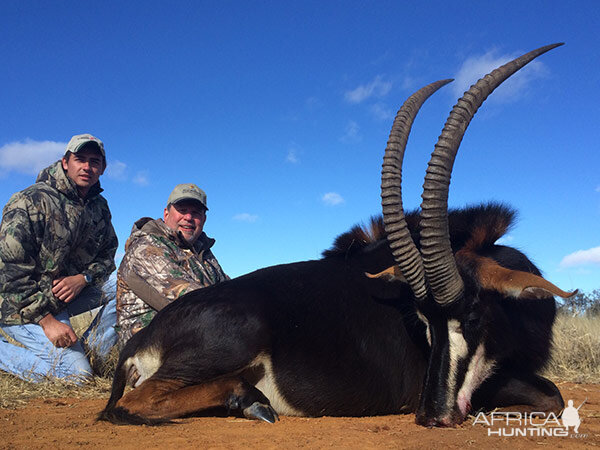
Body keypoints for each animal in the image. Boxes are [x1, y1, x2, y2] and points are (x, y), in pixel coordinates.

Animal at [101, 43, 576, 428]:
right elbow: (551, 394)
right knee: (132, 404)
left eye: (474, 316)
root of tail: (141, 339)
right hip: (234, 337)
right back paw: (249, 400)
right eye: (423, 321)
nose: (432, 415)